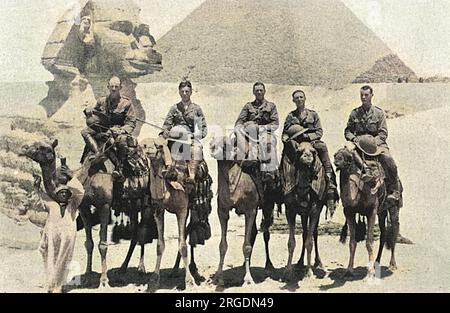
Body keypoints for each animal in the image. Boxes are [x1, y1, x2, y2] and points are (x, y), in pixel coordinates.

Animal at [209, 135, 276, 286]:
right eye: (214, 142)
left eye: (226, 143)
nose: (212, 147)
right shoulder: (222, 211)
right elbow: (222, 245)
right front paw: (219, 277)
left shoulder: (250, 210)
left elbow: (246, 246)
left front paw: (248, 278)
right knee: (255, 232)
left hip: (267, 204)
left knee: (265, 232)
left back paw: (268, 266)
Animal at [282, 141, 334, 280]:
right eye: (299, 151)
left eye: (313, 151)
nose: (307, 157)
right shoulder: (290, 210)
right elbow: (291, 242)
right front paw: (288, 272)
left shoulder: (315, 210)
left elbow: (310, 242)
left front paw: (309, 272)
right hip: (303, 214)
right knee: (305, 233)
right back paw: (300, 262)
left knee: (313, 234)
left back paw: (318, 263)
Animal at [334, 144, 400, 278]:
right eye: (335, 154)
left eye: (348, 157)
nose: (336, 162)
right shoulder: (349, 212)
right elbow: (352, 242)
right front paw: (349, 270)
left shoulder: (371, 211)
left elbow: (369, 242)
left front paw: (370, 273)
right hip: (381, 212)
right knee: (383, 233)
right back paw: (377, 261)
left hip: (394, 206)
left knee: (394, 228)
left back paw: (392, 264)